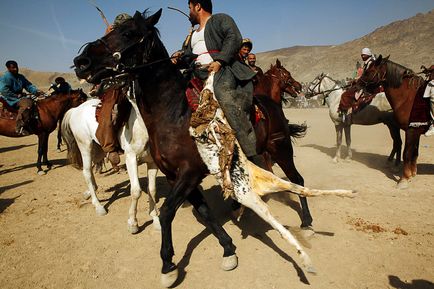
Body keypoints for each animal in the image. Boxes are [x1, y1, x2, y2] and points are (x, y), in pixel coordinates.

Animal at [62, 91, 160, 233]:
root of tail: (75, 110)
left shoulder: (152, 163)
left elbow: (152, 190)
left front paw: (156, 219)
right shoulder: (131, 159)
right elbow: (136, 191)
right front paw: (133, 223)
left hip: (98, 149)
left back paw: (89, 192)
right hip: (85, 146)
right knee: (87, 172)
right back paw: (98, 206)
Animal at [72, 9, 352, 286]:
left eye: (128, 33)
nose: (81, 61)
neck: (173, 113)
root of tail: (273, 105)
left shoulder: (189, 173)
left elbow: (167, 212)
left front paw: (167, 264)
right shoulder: (177, 176)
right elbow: (204, 212)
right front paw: (228, 249)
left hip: (280, 148)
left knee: (297, 179)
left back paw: (307, 222)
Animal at [356, 54, 430, 188]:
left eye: (368, 71)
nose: (357, 84)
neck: (408, 98)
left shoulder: (411, 130)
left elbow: (407, 153)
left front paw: (403, 179)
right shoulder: (416, 130)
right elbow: (414, 152)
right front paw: (412, 173)